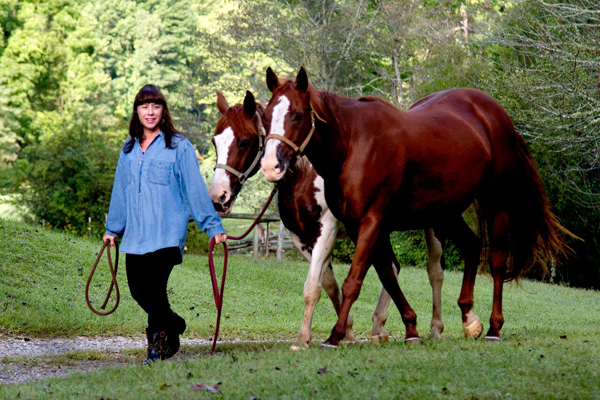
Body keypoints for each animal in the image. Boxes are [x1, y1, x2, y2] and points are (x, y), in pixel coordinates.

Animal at [209, 91, 448, 350]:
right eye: (215, 141)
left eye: (244, 141)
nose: (218, 197)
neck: (305, 175)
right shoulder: (301, 237)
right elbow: (329, 285)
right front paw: (347, 333)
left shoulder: (327, 230)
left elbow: (312, 287)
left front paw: (303, 339)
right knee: (392, 267)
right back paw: (378, 328)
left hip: (430, 224)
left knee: (434, 271)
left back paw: (436, 329)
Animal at [262, 67, 572, 346]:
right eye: (265, 116)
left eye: (298, 115)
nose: (270, 166)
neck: (354, 143)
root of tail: (496, 114)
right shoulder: (357, 225)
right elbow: (386, 275)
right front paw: (410, 329)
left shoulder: (370, 222)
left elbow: (355, 281)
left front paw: (336, 336)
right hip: (444, 212)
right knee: (471, 245)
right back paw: (468, 318)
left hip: (496, 202)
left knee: (496, 261)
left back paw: (494, 328)